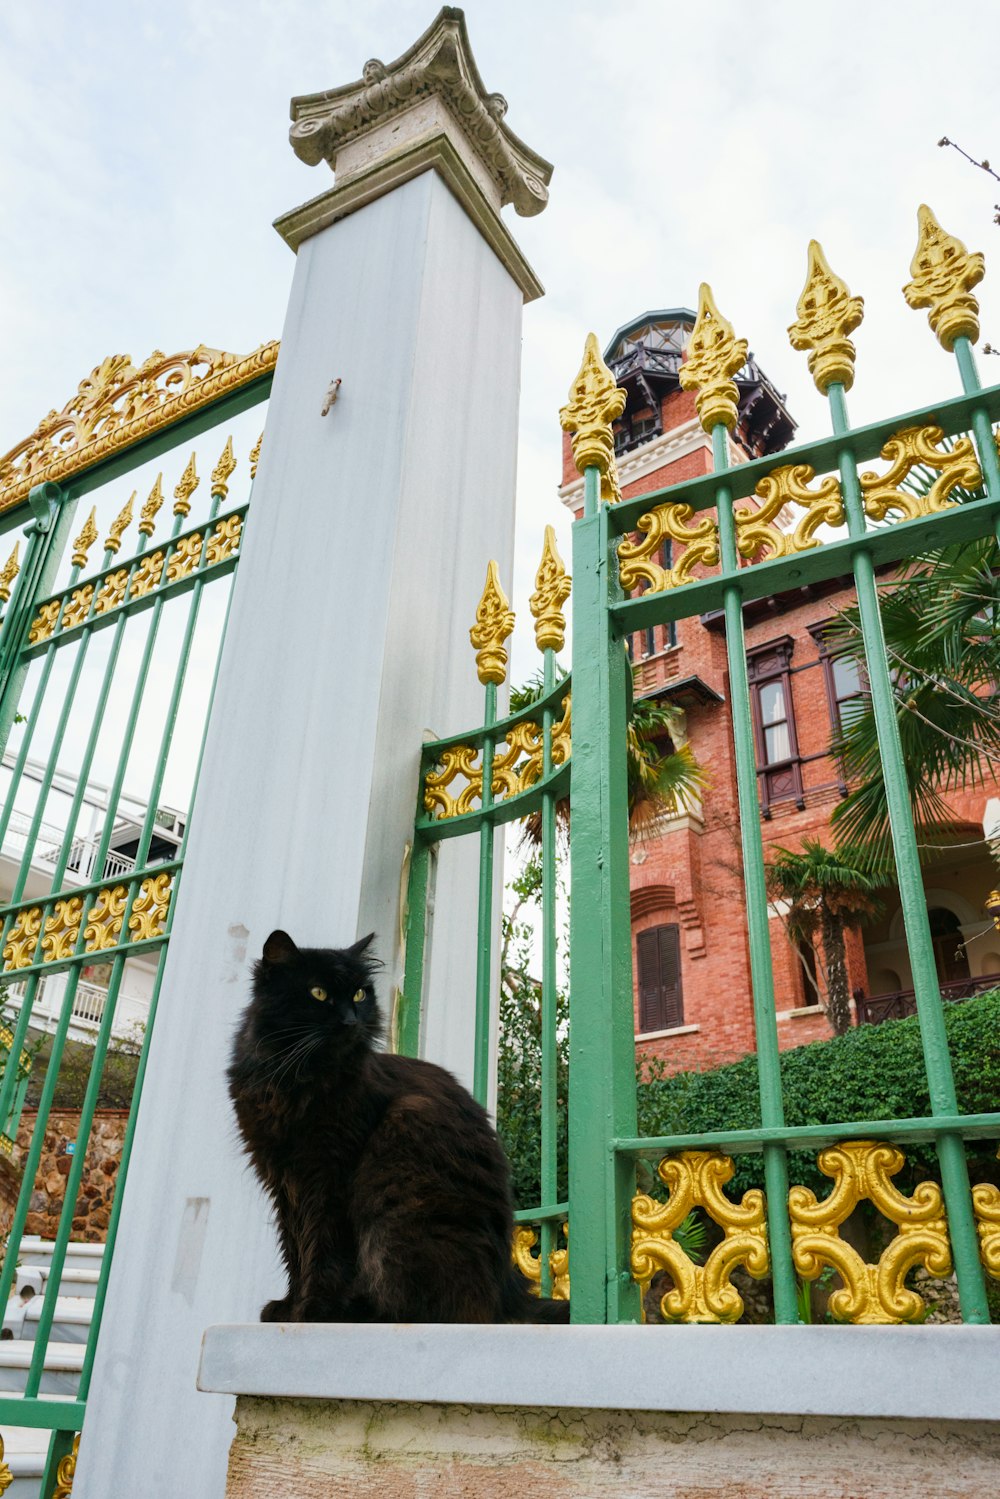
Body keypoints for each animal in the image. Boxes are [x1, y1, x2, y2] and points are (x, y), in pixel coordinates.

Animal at [227, 929, 569, 1331]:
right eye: (319, 993)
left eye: (360, 995)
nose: (350, 1021)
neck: (293, 1078)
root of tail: (507, 1294)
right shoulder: (284, 1180)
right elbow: (295, 1247)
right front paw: (289, 1305)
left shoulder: (328, 1176)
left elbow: (323, 1249)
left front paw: (314, 1309)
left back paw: (357, 1312)